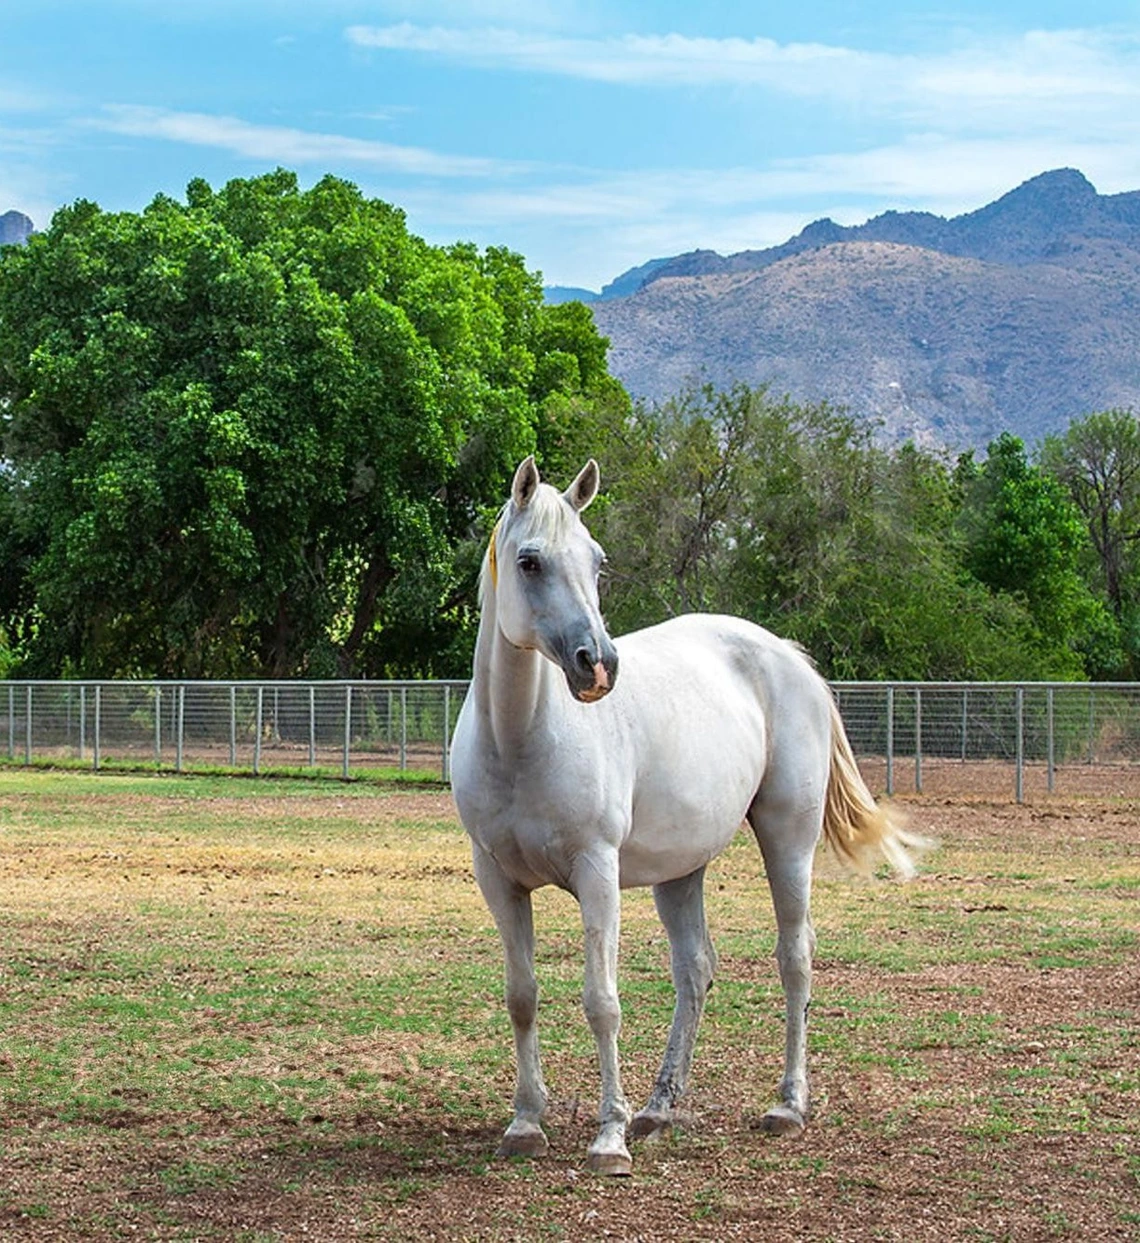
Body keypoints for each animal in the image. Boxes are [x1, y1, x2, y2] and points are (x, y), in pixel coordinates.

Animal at [450, 457, 919, 1173]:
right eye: (529, 561)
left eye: (597, 560)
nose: (598, 665)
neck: (520, 741)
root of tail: (787, 656)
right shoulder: (497, 879)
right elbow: (522, 997)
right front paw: (526, 1123)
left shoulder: (598, 874)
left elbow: (601, 1002)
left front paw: (608, 1138)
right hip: (680, 870)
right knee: (695, 971)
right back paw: (659, 1106)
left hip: (788, 841)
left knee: (795, 958)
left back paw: (787, 1105)